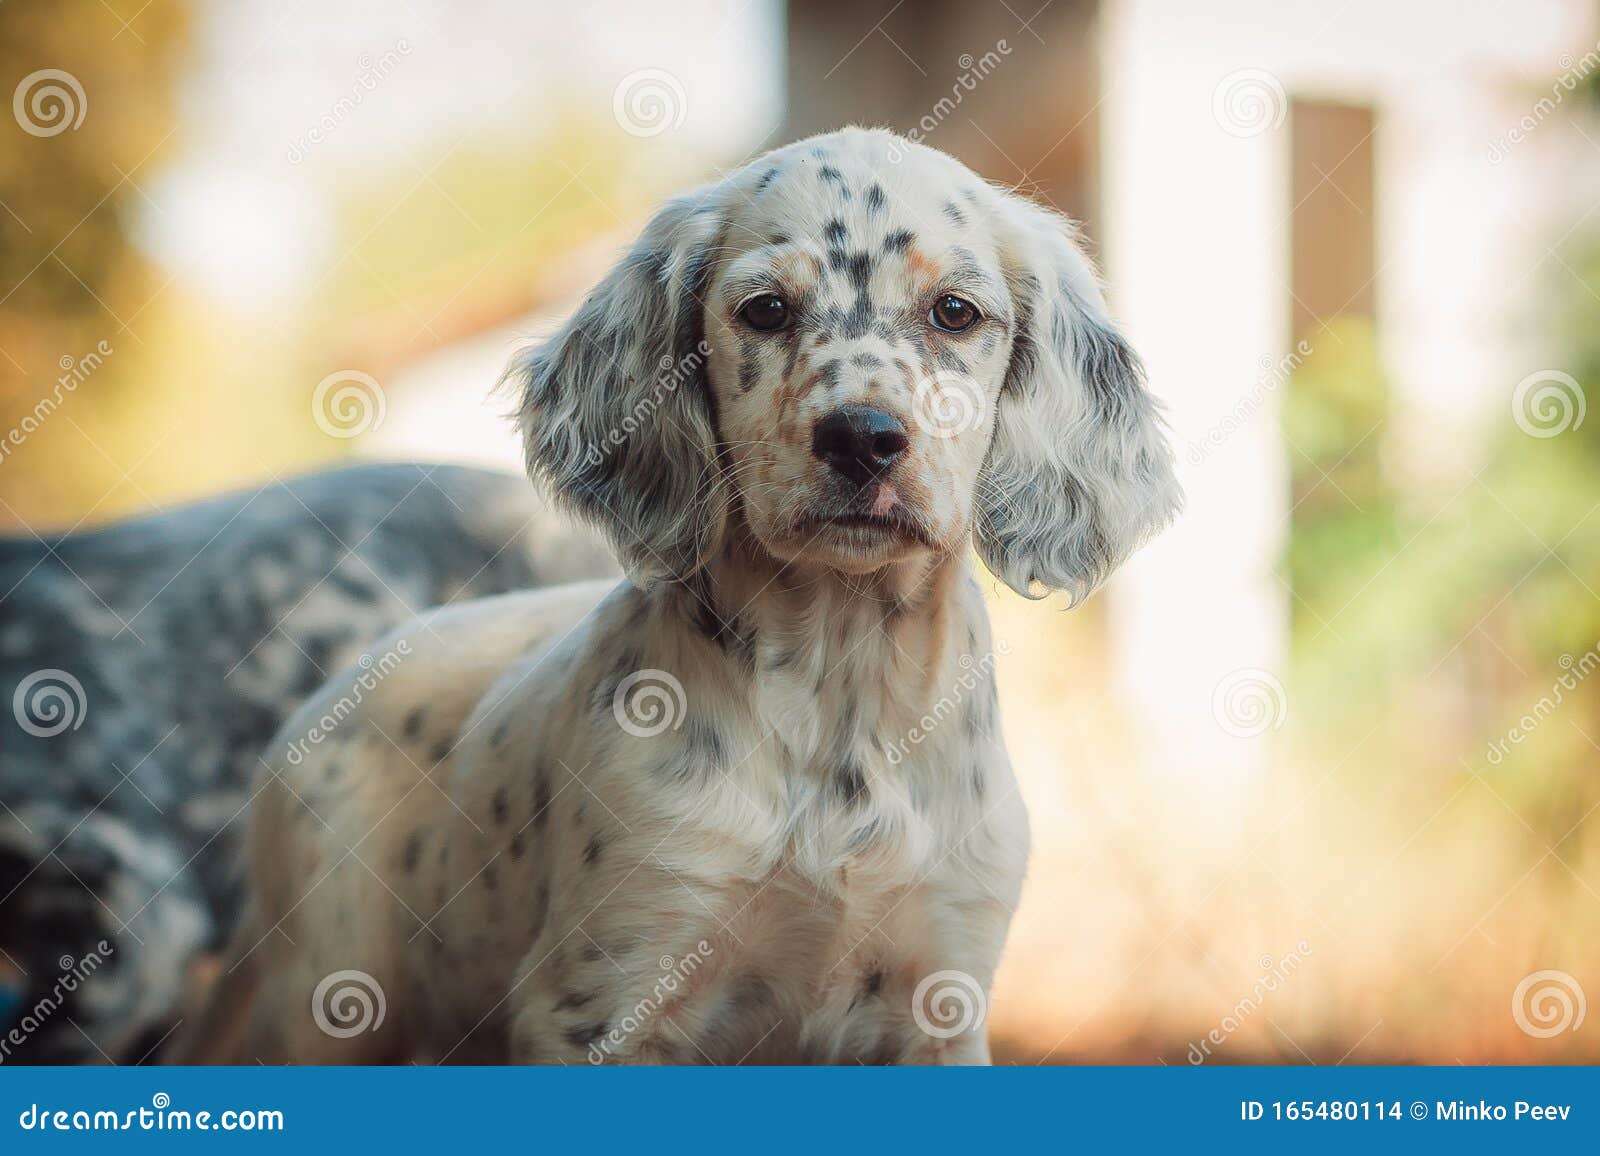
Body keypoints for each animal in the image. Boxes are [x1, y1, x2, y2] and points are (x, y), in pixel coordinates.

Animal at [187, 128, 1184, 1063]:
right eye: (766, 309)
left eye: (955, 313)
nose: (862, 438)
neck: (841, 686)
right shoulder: (607, 993)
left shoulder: (938, 992)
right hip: (326, 995)